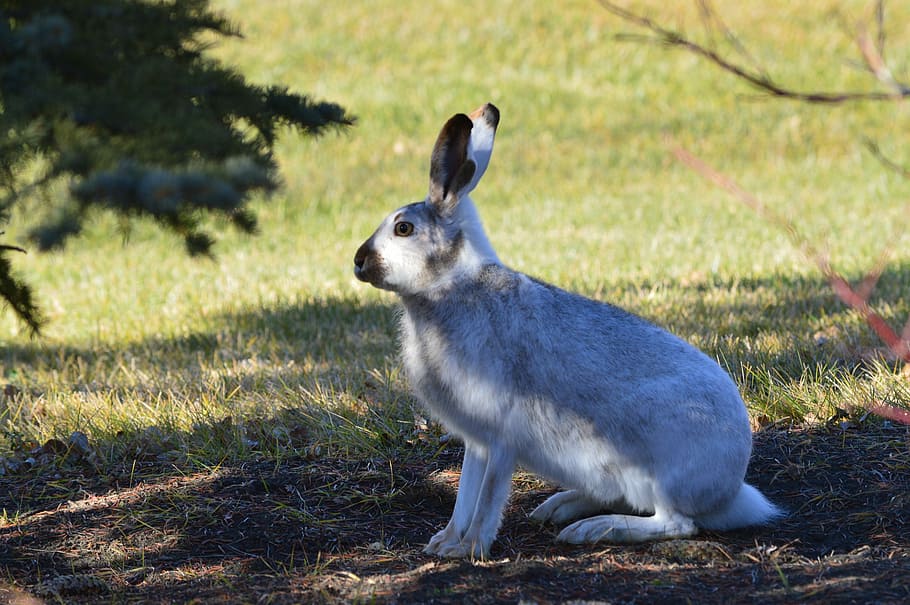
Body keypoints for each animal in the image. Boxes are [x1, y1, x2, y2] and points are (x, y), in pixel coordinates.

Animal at [353, 103, 783, 559]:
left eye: (403, 229)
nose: (358, 261)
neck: (451, 286)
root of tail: (732, 486)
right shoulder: (477, 441)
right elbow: (465, 494)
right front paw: (445, 543)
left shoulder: (501, 434)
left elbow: (486, 498)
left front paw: (471, 550)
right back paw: (559, 508)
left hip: (660, 464)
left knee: (676, 522)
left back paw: (592, 529)